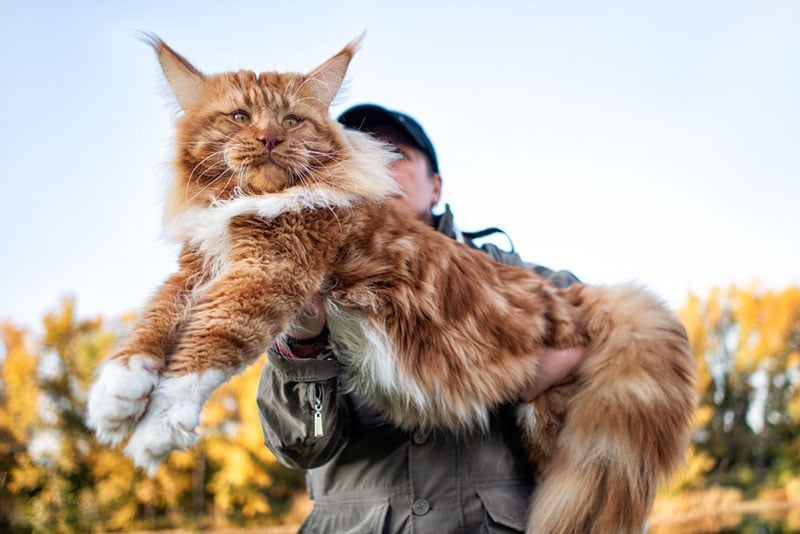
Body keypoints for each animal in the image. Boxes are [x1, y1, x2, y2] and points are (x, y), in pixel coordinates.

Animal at [87, 35, 696, 532]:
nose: (267, 140)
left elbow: (208, 342)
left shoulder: (271, 270)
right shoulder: (198, 267)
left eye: (292, 121)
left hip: (554, 430)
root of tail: (574, 293)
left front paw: (156, 427)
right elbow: (155, 320)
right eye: (239, 116)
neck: (248, 204)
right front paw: (118, 392)